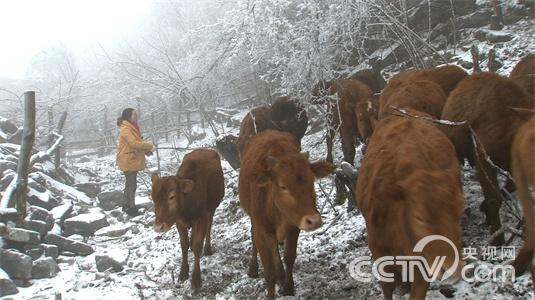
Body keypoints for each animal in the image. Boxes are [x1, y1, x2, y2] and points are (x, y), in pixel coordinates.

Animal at [150, 149, 225, 292]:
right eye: (153, 199)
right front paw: (183, 272)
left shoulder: (202, 217)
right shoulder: (179, 221)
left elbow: (197, 245)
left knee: (209, 226)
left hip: (212, 208)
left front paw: (196, 280)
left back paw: (207, 248)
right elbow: (183, 244)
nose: (158, 227)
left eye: (171, 197)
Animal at [240, 130, 336, 298]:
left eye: (312, 180)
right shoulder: (262, 230)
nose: (314, 221)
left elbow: (289, 257)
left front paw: (288, 287)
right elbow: (269, 272)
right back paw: (253, 268)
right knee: (254, 236)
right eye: (283, 186)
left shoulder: (294, 225)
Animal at [358, 110, 466, 300]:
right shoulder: (379, 252)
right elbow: (387, 287)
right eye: (419, 218)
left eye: (458, 214)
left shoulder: (423, 266)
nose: (452, 271)